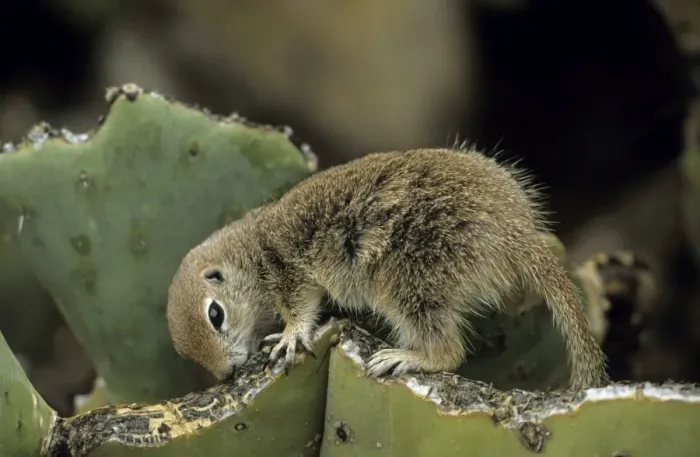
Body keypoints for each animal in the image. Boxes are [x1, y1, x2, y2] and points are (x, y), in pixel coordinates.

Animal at [166, 147, 609, 389]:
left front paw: (290, 336)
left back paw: (409, 357)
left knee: (449, 352)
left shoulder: (287, 271)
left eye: (215, 315)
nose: (227, 371)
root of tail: (515, 229)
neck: (251, 248)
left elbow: (301, 308)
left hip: (408, 282)